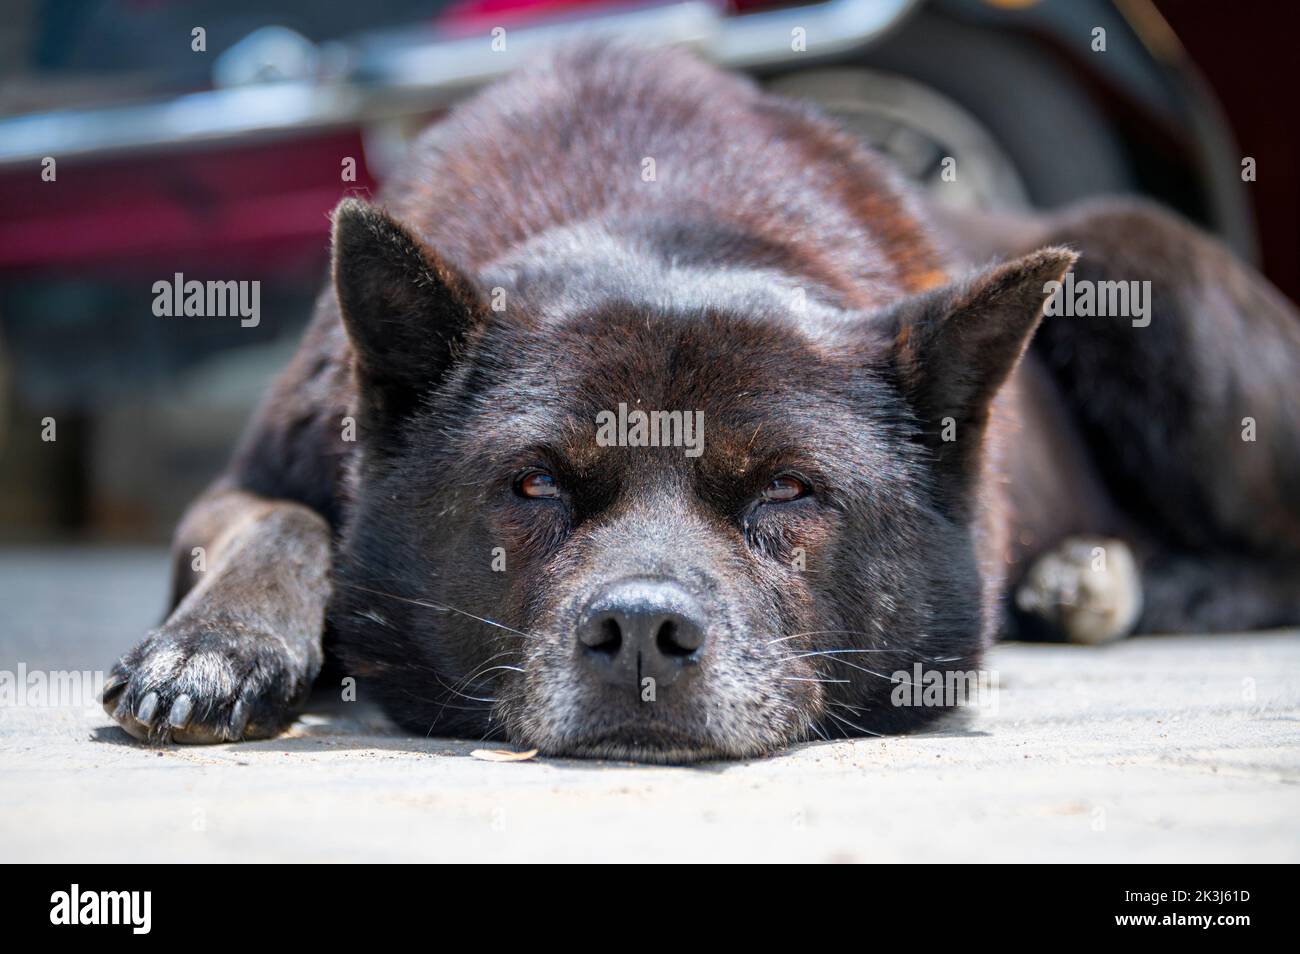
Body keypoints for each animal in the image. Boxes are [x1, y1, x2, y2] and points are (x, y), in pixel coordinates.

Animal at [104, 42, 1300, 764]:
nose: (641, 633)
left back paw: (1131, 580)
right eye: (531, 483)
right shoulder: (247, 483)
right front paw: (214, 648)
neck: (658, 214)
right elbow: (283, 522)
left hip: (1147, 277)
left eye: (789, 490)